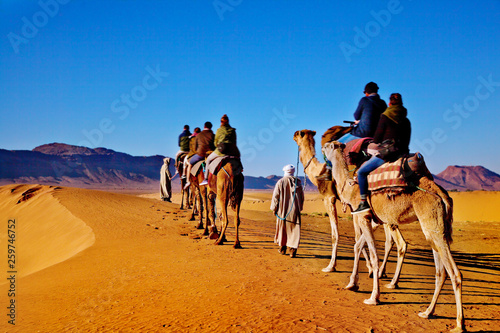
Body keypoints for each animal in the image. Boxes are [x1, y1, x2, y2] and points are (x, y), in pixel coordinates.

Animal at [292, 129, 404, 286]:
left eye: (298, 134)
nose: (293, 135)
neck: (317, 172)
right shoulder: (353, 207)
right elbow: (358, 237)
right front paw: (369, 269)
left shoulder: (329, 199)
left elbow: (336, 234)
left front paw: (331, 266)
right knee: (393, 241)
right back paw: (385, 275)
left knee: (398, 242)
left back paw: (391, 280)